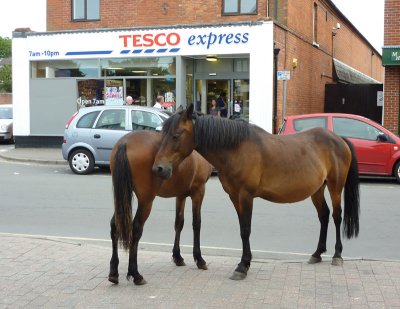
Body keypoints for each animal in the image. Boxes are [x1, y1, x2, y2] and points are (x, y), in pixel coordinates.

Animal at [106, 129, 212, 284]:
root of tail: (125, 143)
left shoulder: (180, 195)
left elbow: (179, 223)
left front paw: (178, 257)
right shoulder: (199, 191)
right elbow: (196, 224)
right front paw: (199, 259)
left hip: (122, 196)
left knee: (115, 225)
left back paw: (114, 272)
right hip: (146, 201)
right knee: (136, 228)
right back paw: (136, 274)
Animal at [152, 104, 360, 280]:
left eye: (176, 135)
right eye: (163, 134)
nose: (159, 169)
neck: (236, 149)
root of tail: (339, 138)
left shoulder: (246, 196)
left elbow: (246, 230)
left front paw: (243, 266)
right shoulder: (235, 196)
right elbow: (242, 228)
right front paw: (244, 262)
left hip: (335, 186)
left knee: (336, 216)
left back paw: (337, 254)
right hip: (317, 189)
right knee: (324, 215)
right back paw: (317, 254)